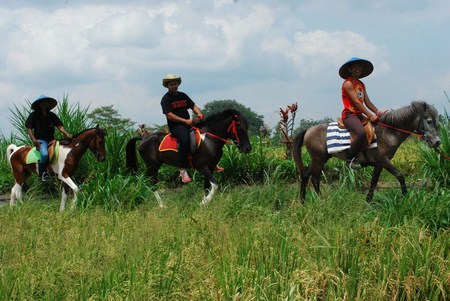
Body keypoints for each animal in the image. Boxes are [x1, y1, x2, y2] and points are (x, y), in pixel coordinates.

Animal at [294, 102, 442, 203]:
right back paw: (320, 200)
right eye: (429, 121)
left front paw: (368, 202)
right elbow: (400, 176)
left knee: (306, 175)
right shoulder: (384, 160)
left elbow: (374, 182)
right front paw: (405, 197)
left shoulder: (379, 163)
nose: (437, 142)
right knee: (315, 178)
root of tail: (308, 130)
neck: (388, 132)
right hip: (319, 159)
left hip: (318, 159)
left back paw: (303, 201)